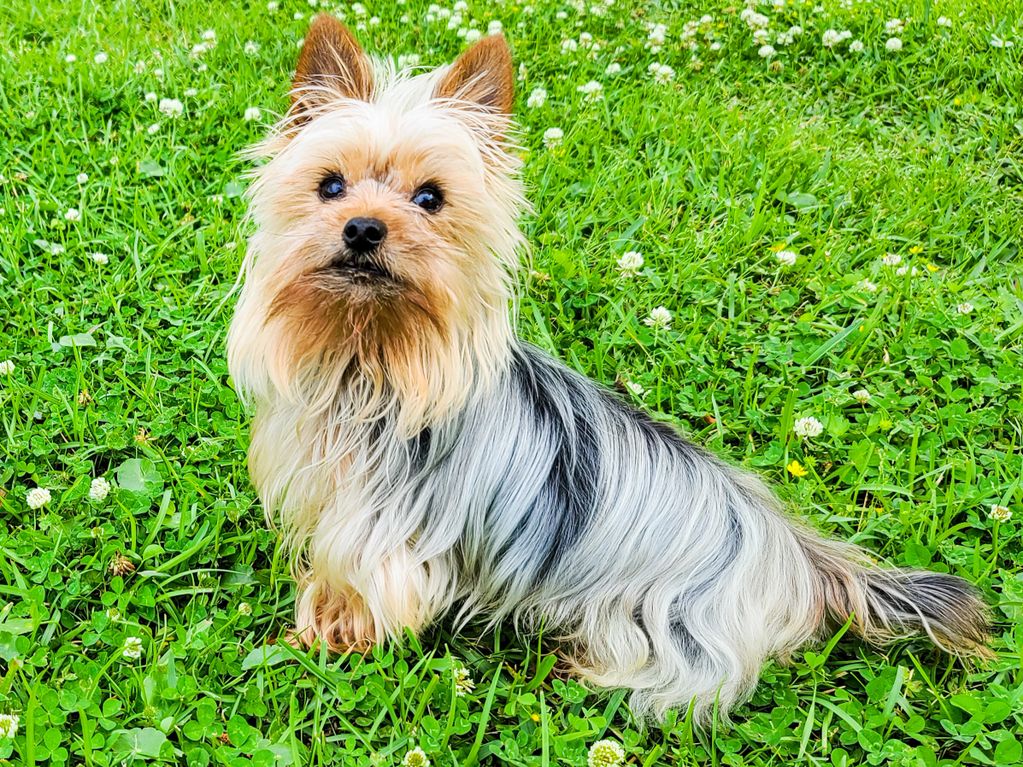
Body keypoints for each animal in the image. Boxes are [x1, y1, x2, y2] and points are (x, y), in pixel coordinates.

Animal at [226, 16, 990, 728]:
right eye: (329, 185)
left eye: (430, 198)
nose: (362, 228)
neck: (371, 357)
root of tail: (797, 555)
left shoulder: (383, 534)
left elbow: (366, 591)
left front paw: (330, 632)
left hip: (665, 625)